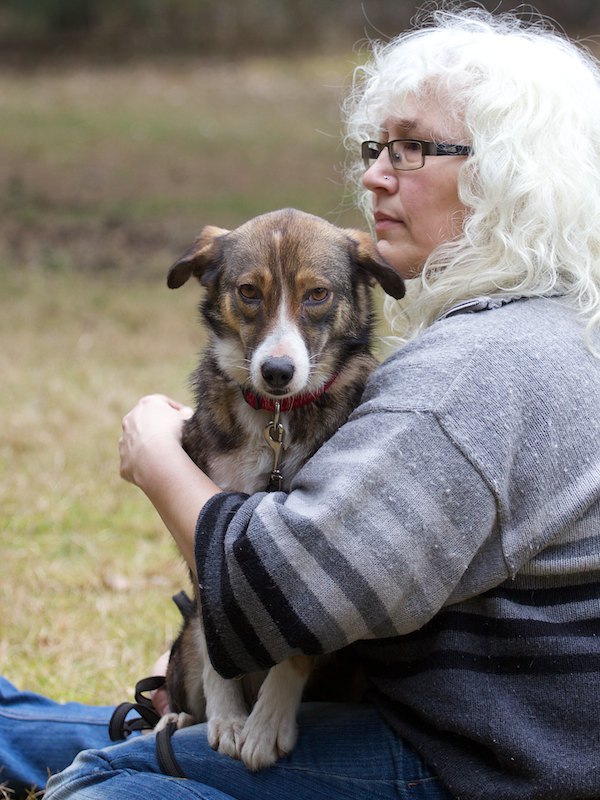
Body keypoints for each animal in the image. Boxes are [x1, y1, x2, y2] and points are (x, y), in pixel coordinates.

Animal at [158, 208, 405, 771]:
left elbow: (295, 649)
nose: (276, 372)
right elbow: (215, 639)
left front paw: (266, 722)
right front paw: (228, 716)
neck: (275, 420)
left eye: (317, 294)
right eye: (249, 291)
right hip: (182, 645)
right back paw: (177, 717)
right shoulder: (207, 535)